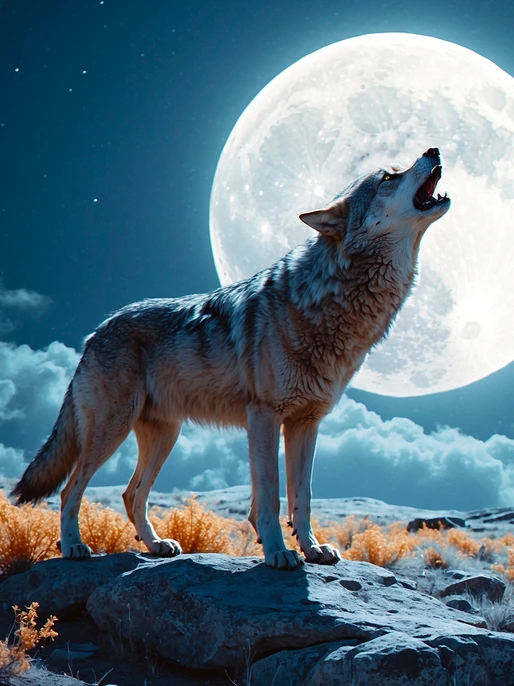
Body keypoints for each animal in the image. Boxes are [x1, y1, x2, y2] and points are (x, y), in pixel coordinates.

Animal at [12, 148, 450, 570]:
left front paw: (312, 550)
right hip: (112, 430)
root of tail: (94, 332)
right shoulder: (264, 416)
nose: (434, 149)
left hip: (165, 435)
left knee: (130, 494)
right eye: (388, 176)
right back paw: (74, 547)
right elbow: (271, 497)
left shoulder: (306, 423)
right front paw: (278, 554)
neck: (329, 300)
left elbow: (303, 497)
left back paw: (156, 546)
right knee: (71, 490)